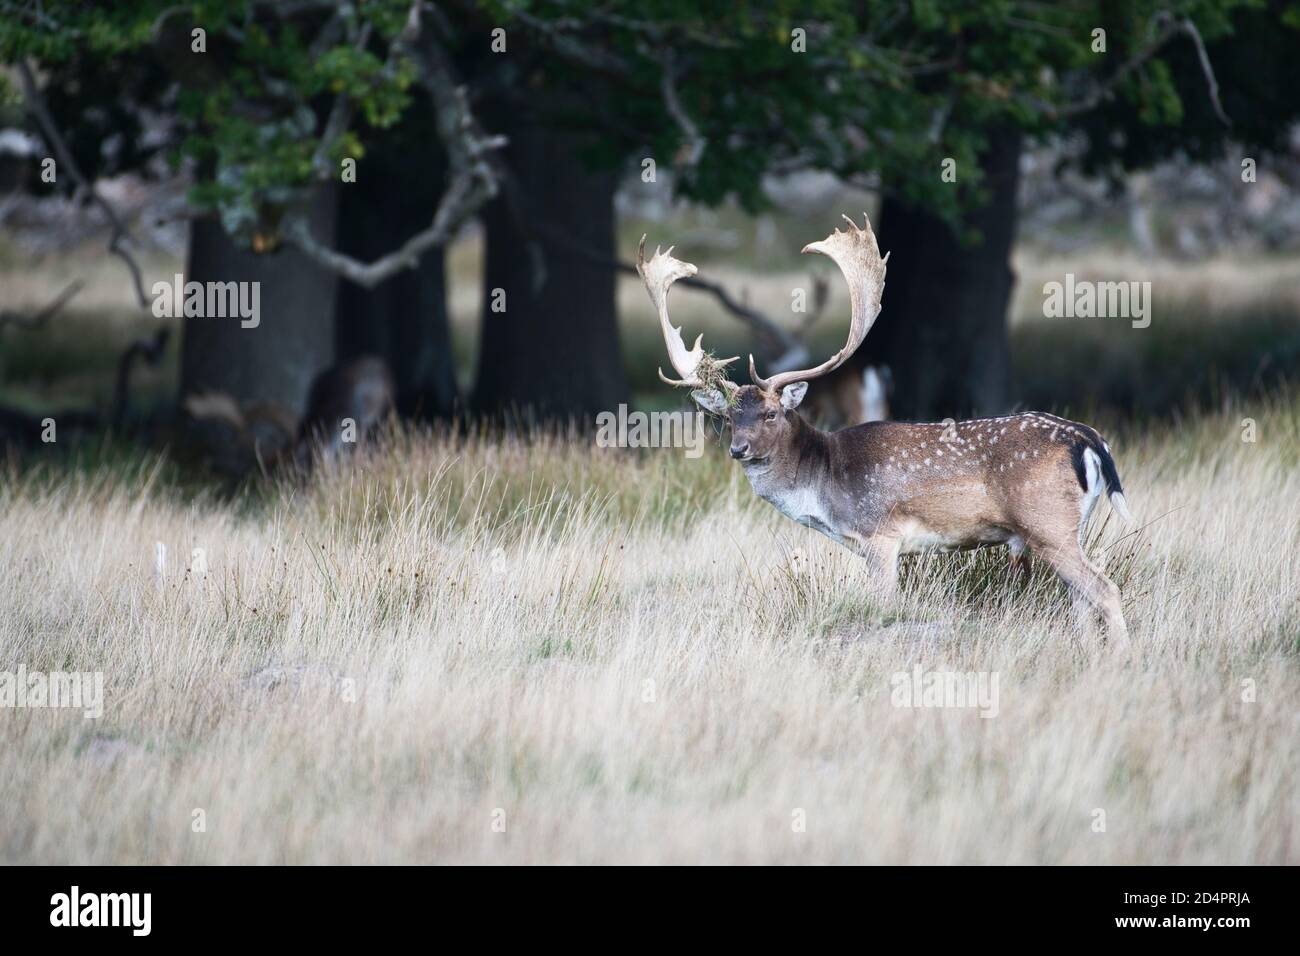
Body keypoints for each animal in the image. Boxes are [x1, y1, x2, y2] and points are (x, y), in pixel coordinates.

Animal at [644, 218, 1133, 642]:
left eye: (771, 414)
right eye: (728, 418)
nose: (739, 449)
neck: (826, 489)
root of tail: (1091, 440)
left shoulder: (881, 536)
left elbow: (882, 606)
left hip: (1046, 523)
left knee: (1106, 589)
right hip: (1071, 527)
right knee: (1080, 601)